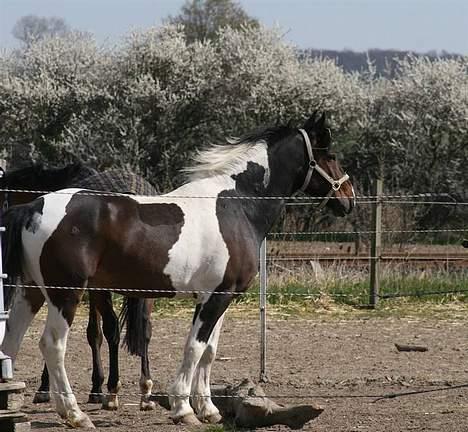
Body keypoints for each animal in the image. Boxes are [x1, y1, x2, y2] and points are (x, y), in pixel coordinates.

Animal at [0, 162, 158, 408]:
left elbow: (93, 332)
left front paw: (47, 388)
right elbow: (94, 332)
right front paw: (96, 386)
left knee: (113, 327)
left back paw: (113, 390)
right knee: (145, 329)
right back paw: (144, 390)